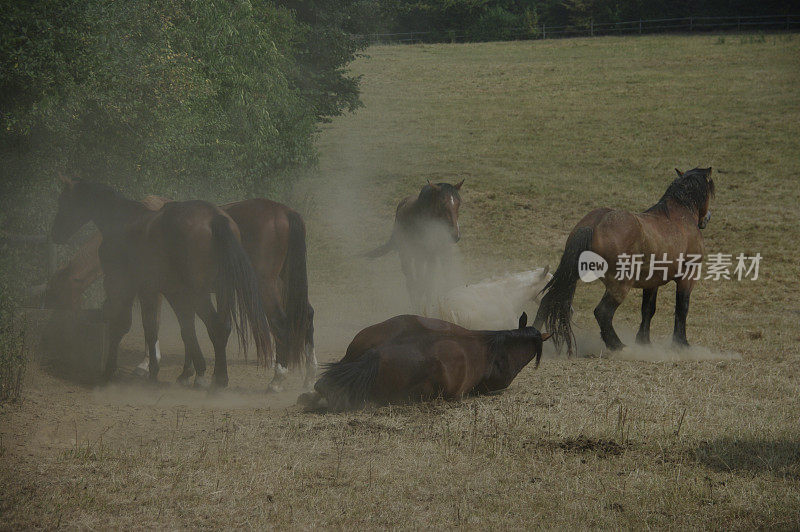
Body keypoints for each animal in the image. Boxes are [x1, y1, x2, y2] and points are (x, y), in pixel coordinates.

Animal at [368, 181, 466, 310]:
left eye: (458, 203)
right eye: (442, 204)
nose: (455, 235)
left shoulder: (437, 256)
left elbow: (431, 283)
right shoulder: (421, 257)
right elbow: (421, 284)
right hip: (407, 255)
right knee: (410, 282)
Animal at [536, 168, 716, 356]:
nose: (707, 218)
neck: (679, 216)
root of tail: (593, 224)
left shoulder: (652, 282)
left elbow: (648, 309)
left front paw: (644, 342)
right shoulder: (687, 276)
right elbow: (682, 308)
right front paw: (681, 344)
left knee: (547, 301)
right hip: (620, 284)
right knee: (603, 312)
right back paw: (618, 346)